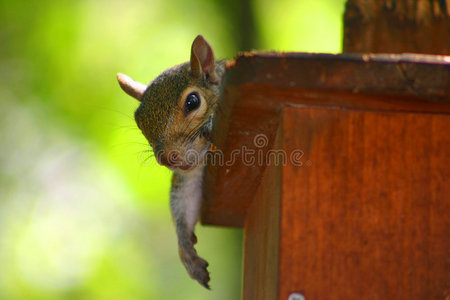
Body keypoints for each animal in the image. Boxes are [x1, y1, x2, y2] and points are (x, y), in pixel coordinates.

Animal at [117, 35, 225, 288]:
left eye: (193, 101)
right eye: (139, 121)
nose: (166, 158)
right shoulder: (189, 176)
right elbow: (185, 201)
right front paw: (187, 254)